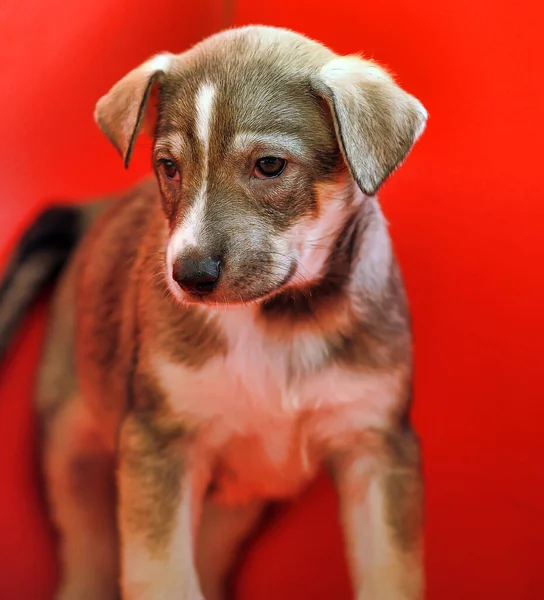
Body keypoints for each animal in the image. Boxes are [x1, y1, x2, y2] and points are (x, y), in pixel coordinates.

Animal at [0, 24, 428, 600]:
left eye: (269, 165)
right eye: (169, 167)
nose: (190, 276)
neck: (279, 321)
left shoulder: (378, 447)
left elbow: (392, 575)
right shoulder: (159, 442)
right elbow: (162, 576)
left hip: (236, 500)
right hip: (73, 452)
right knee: (87, 558)